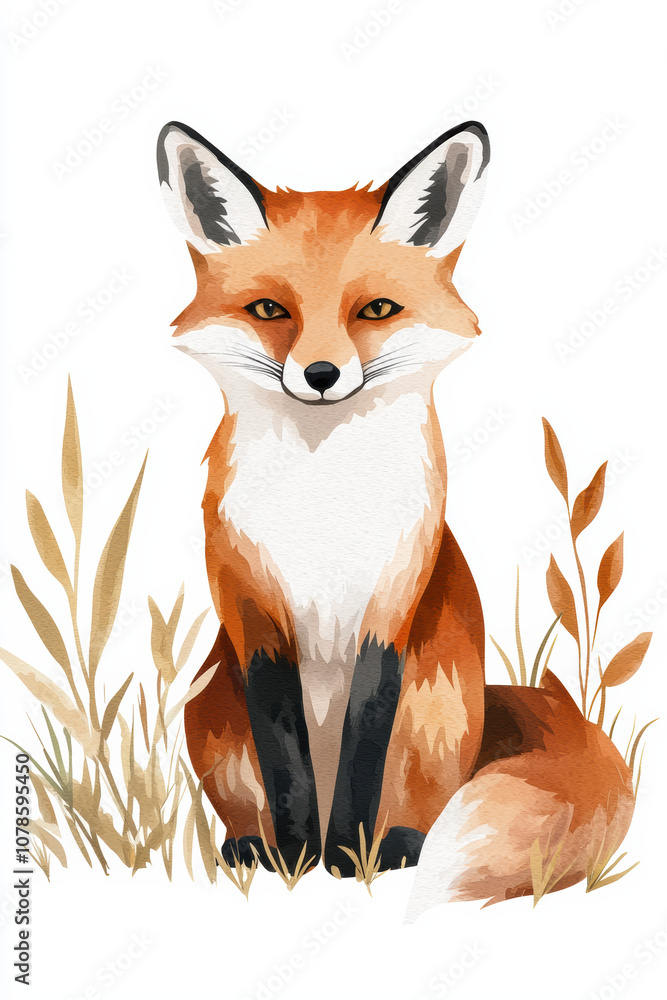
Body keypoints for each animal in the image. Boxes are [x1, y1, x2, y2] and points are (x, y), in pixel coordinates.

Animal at [156, 119, 634, 901]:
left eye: (375, 310)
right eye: (270, 311)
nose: (321, 375)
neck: (326, 503)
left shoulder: (390, 608)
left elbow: (364, 743)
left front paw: (349, 857)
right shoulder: (253, 615)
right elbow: (285, 757)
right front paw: (297, 858)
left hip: (436, 703)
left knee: (424, 801)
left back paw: (398, 845)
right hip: (210, 706)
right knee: (245, 801)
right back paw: (252, 846)